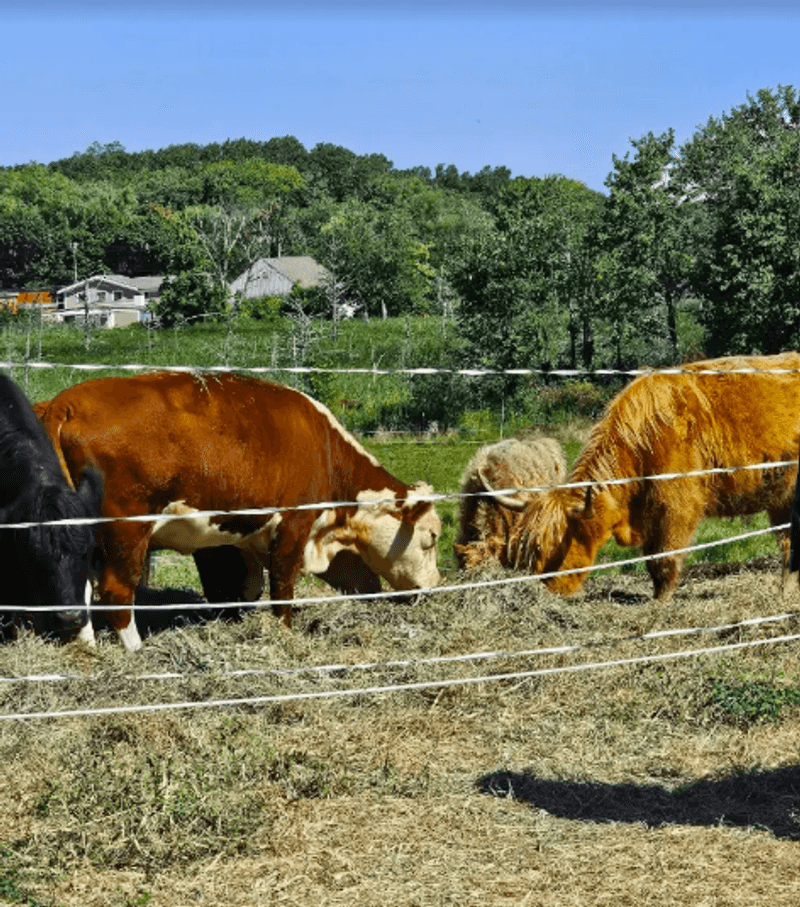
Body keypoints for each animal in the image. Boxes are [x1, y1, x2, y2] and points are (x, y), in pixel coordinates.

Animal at [37, 371, 441, 652]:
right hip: (127, 530)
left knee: (81, 586)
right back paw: (136, 651)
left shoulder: (248, 535)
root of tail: (66, 403)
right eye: (431, 537)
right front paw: (284, 635)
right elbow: (281, 586)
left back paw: (87, 646)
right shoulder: (293, 525)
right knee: (117, 590)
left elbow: (247, 588)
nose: (436, 586)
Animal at [476, 353, 800, 600]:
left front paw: (661, 603)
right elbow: (651, 561)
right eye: (528, 549)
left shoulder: (677, 508)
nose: (548, 592)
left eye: (550, 547)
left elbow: (665, 558)